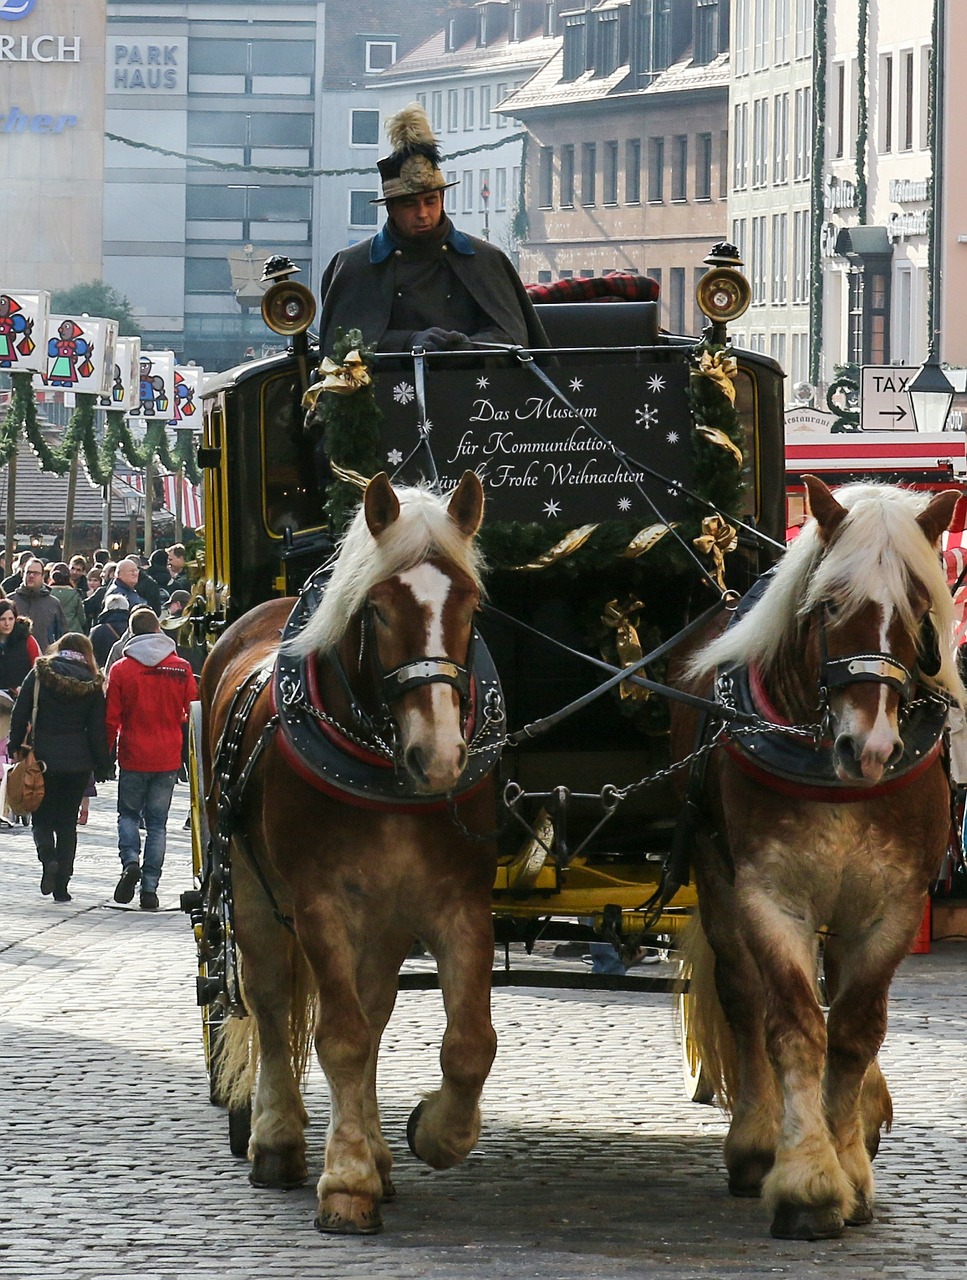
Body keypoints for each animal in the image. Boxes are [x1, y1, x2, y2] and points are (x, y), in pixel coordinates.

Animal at [197, 476, 499, 1233]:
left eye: (469, 605)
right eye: (380, 611)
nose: (439, 757)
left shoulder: (458, 901)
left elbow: (468, 1042)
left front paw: (430, 1134)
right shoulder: (319, 906)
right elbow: (338, 1035)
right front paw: (346, 1180)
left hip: (385, 919)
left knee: (374, 1008)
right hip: (249, 889)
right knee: (270, 1002)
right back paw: (278, 1139)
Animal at [676, 476, 963, 1233]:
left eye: (918, 606)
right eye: (830, 603)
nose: (870, 749)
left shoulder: (892, 907)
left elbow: (856, 1031)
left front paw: (850, 1166)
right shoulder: (771, 900)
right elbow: (795, 1027)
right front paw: (806, 1177)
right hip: (716, 877)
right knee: (743, 997)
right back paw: (755, 1142)